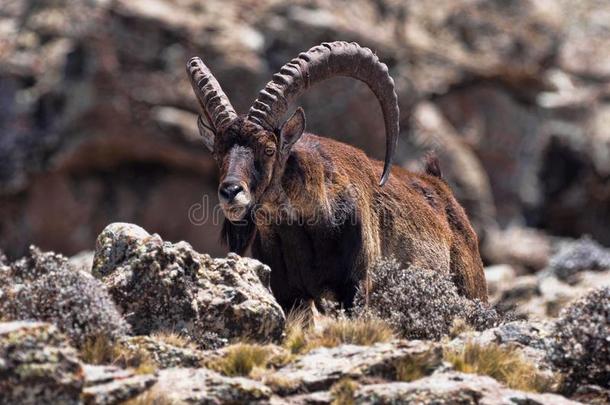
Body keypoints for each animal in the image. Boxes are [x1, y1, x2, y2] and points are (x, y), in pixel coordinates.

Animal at [185, 41, 484, 310]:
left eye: (269, 149)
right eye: (217, 153)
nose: (231, 192)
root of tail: (441, 187)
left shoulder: (355, 288)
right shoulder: (289, 296)